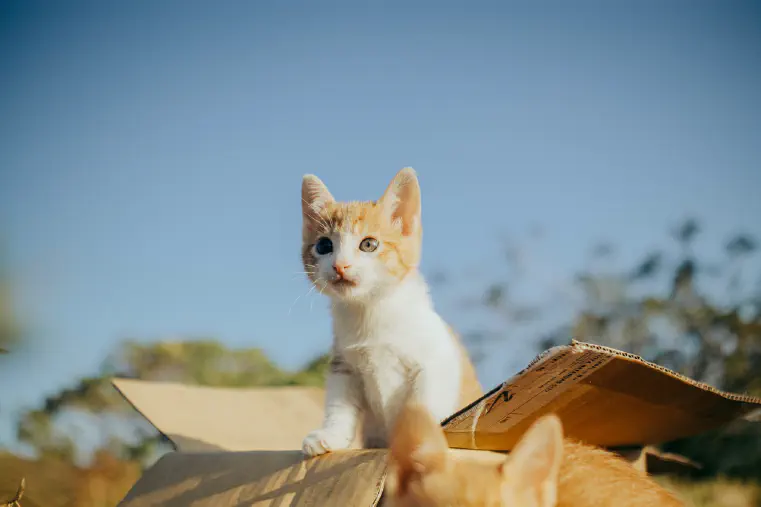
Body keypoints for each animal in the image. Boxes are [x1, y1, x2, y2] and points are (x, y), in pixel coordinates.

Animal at [298, 168, 480, 456]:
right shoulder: (344, 365)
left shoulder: (437, 359)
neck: (370, 311)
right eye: (324, 246)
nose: (340, 266)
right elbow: (339, 404)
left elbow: (424, 402)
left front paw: (419, 440)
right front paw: (331, 435)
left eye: (368, 245)